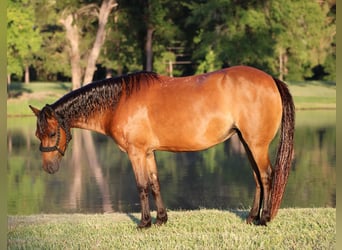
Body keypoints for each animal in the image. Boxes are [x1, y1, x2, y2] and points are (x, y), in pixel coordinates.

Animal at [30, 65, 296, 228]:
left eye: (51, 133)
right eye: (37, 134)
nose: (48, 168)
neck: (118, 102)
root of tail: (271, 79)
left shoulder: (136, 153)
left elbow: (141, 186)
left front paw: (144, 223)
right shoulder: (148, 153)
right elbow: (155, 184)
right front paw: (161, 219)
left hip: (256, 145)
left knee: (267, 176)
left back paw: (265, 218)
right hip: (247, 143)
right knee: (257, 178)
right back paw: (252, 217)